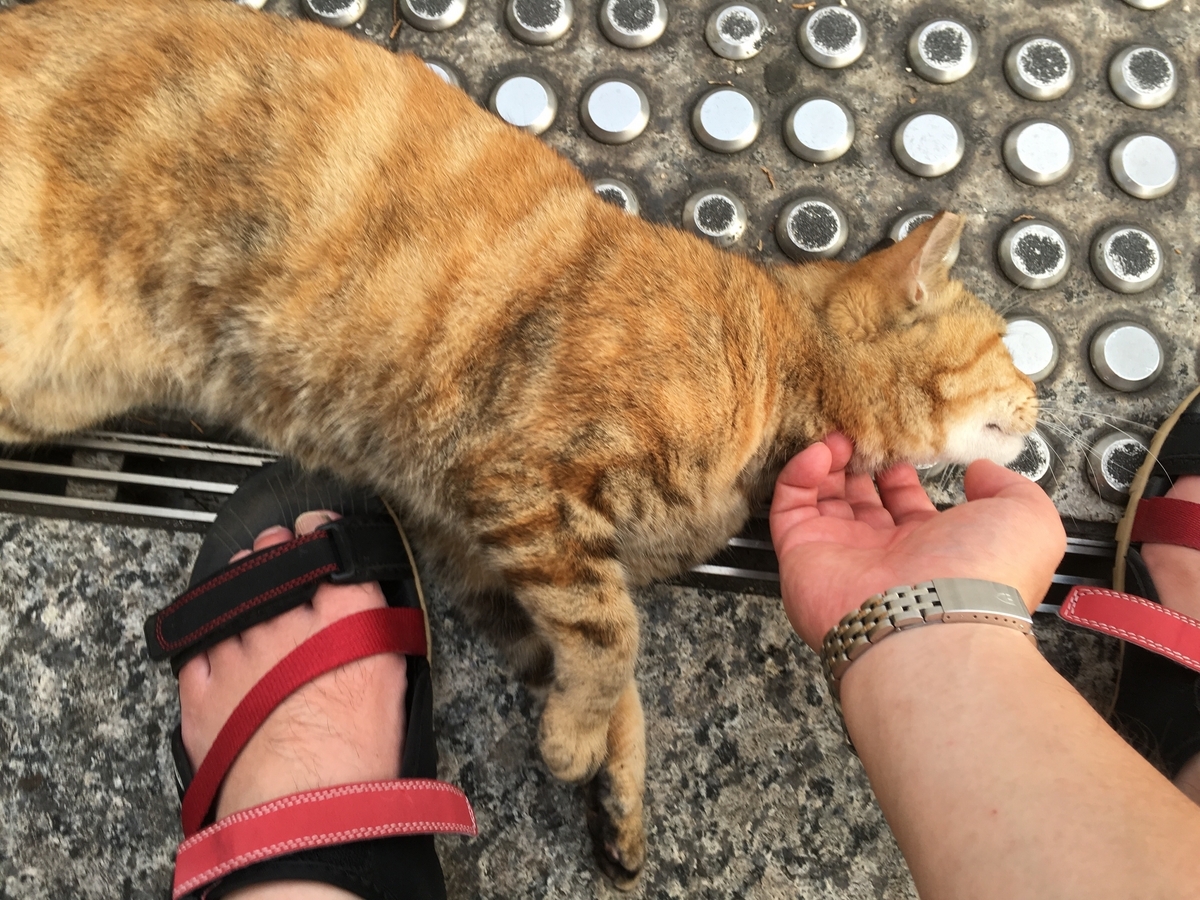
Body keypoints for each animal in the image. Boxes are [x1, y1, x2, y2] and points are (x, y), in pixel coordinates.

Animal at [0, 0, 1037, 887]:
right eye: (1010, 348)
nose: (1040, 403)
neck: (777, 369)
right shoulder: (525, 486)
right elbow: (614, 638)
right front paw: (578, 742)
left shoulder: (485, 551)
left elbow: (602, 664)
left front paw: (614, 793)